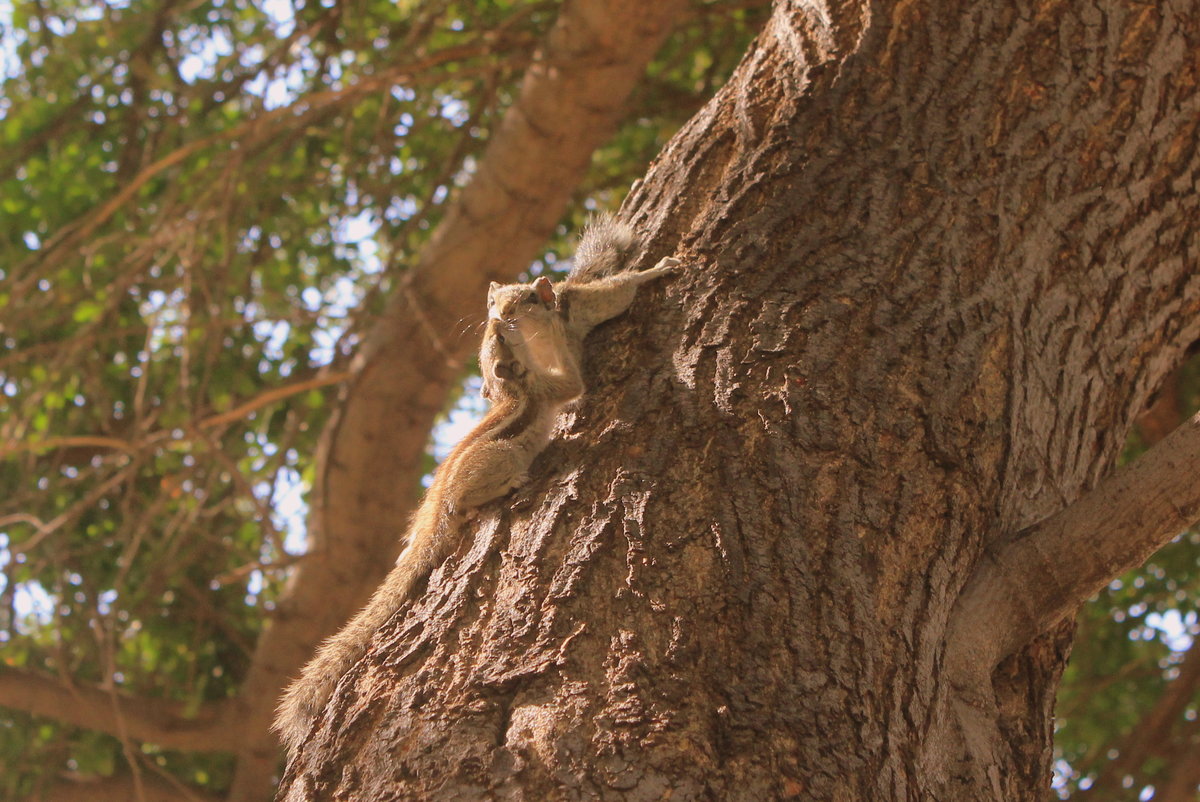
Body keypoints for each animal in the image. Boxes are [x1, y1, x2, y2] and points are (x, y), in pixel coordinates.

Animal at [274, 212, 681, 753]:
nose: (496, 320)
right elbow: (574, 378)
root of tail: (440, 505)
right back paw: (502, 489)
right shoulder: (547, 384)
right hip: (501, 457)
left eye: (521, 301)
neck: (521, 381)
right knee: (472, 502)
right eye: (495, 316)